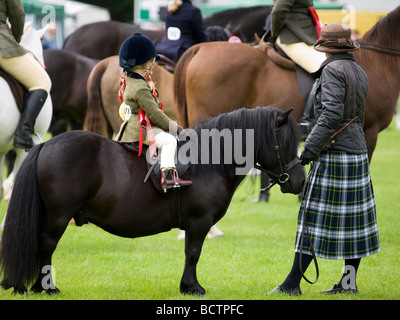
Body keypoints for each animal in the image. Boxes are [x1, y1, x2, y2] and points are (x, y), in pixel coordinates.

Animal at [0, 107, 302, 296]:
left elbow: (191, 253)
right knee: (46, 245)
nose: (299, 181)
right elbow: (193, 253)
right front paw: (191, 287)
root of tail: (46, 145)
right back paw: (47, 287)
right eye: (286, 144)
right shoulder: (198, 222)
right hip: (58, 216)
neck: (210, 161)